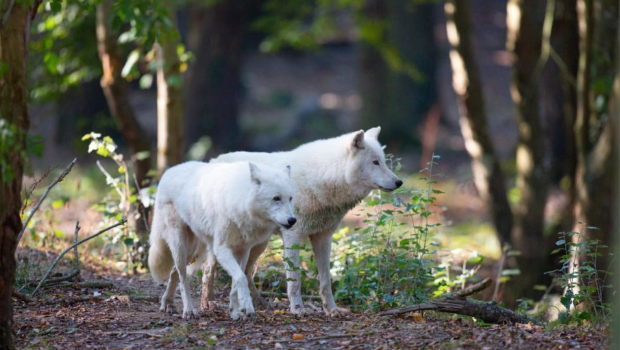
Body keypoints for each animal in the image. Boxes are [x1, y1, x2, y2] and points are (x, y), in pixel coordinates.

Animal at [149, 161, 296, 320]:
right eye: (276, 198)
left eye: (290, 198)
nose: (293, 220)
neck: (240, 200)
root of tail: (169, 171)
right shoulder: (222, 249)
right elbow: (241, 278)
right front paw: (247, 306)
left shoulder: (243, 250)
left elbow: (236, 281)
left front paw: (235, 311)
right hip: (180, 243)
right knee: (182, 278)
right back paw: (188, 310)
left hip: (191, 250)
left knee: (174, 272)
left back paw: (167, 303)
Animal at [200, 127, 402, 316]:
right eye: (375, 162)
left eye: (383, 161)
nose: (399, 182)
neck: (322, 178)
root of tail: (212, 161)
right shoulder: (293, 236)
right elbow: (295, 279)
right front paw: (298, 309)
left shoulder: (323, 237)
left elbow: (326, 281)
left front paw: (332, 309)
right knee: (208, 269)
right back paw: (208, 303)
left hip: (258, 244)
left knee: (247, 272)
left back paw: (261, 304)